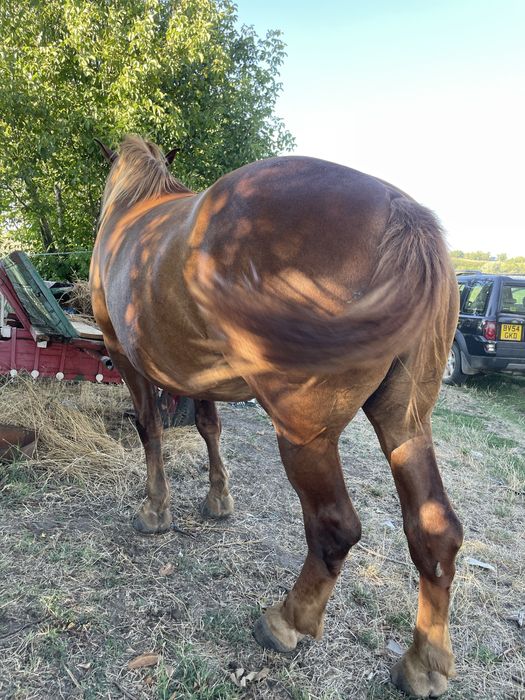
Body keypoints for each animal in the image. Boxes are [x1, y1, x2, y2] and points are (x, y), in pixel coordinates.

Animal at [91, 135, 463, 698]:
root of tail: (402, 213)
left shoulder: (123, 353)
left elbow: (150, 429)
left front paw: (155, 510)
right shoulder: (198, 370)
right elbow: (208, 426)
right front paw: (218, 500)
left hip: (304, 435)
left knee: (335, 528)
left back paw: (286, 621)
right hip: (406, 424)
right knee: (435, 532)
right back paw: (424, 664)